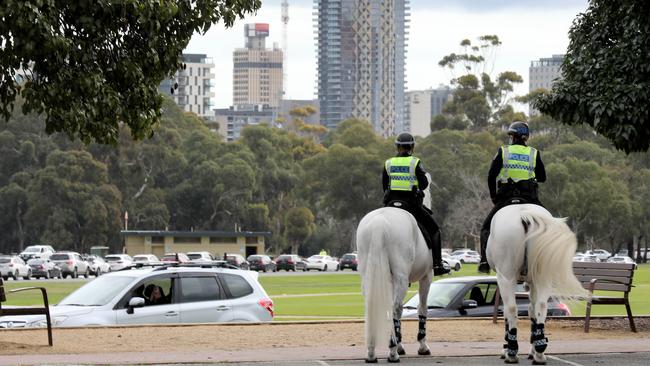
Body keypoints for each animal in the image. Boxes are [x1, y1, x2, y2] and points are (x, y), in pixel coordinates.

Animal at [356, 183, 432, 364]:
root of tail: (379, 223)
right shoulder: (427, 276)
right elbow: (422, 308)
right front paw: (421, 346)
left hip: (369, 276)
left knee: (373, 305)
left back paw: (371, 352)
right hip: (401, 278)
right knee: (395, 308)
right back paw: (392, 352)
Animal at [486, 204, 588, 364]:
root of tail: (525, 214)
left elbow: (508, 314)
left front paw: (506, 348)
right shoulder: (533, 283)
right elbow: (532, 311)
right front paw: (533, 348)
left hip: (506, 277)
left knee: (511, 309)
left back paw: (512, 352)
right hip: (542, 277)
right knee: (541, 306)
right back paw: (539, 351)